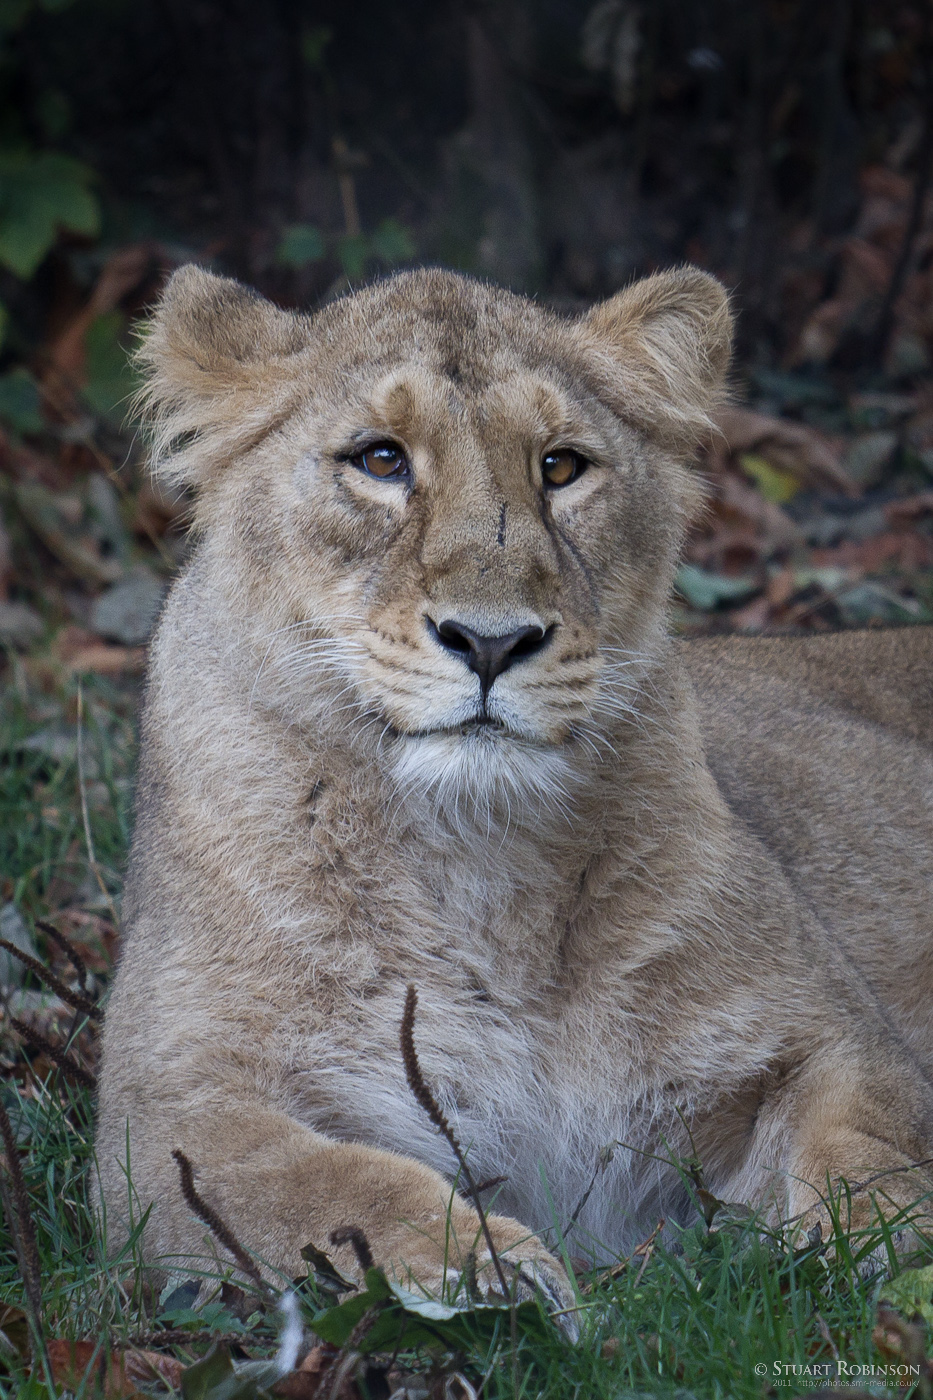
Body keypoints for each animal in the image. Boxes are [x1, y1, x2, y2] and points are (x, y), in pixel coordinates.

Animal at [96, 263, 933, 1312]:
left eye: (561, 467)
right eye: (379, 459)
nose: (492, 641)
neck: (479, 856)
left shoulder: (832, 1037)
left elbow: (868, 1152)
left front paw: (888, 1262)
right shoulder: (163, 1118)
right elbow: (332, 1186)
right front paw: (494, 1272)